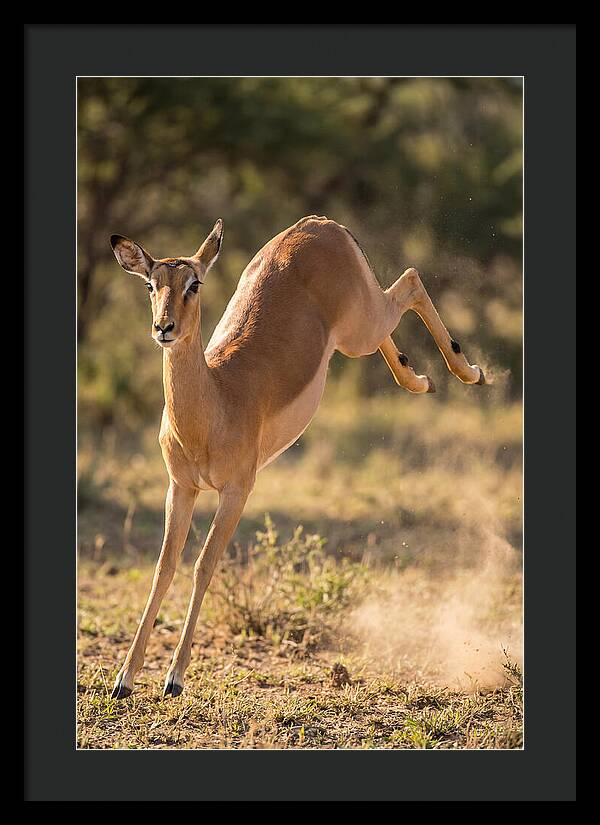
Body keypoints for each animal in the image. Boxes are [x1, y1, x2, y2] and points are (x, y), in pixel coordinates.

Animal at [108, 215, 485, 699]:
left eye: (194, 283)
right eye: (151, 284)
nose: (164, 328)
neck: (215, 401)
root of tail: (320, 223)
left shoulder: (237, 491)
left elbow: (203, 564)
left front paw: (174, 677)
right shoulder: (181, 488)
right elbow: (163, 568)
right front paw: (124, 678)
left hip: (360, 327)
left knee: (412, 279)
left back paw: (469, 372)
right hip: (357, 330)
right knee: (399, 307)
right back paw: (420, 379)